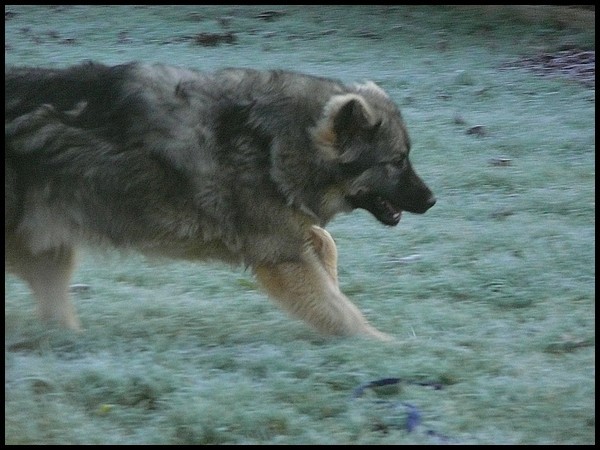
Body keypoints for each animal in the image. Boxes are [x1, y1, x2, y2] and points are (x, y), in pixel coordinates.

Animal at [4, 61, 436, 340]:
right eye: (397, 161)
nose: (432, 201)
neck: (279, 142)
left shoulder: (286, 236)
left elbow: (325, 249)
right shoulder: (281, 256)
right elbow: (340, 310)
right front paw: (381, 346)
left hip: (50, 252)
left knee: (54, 309)